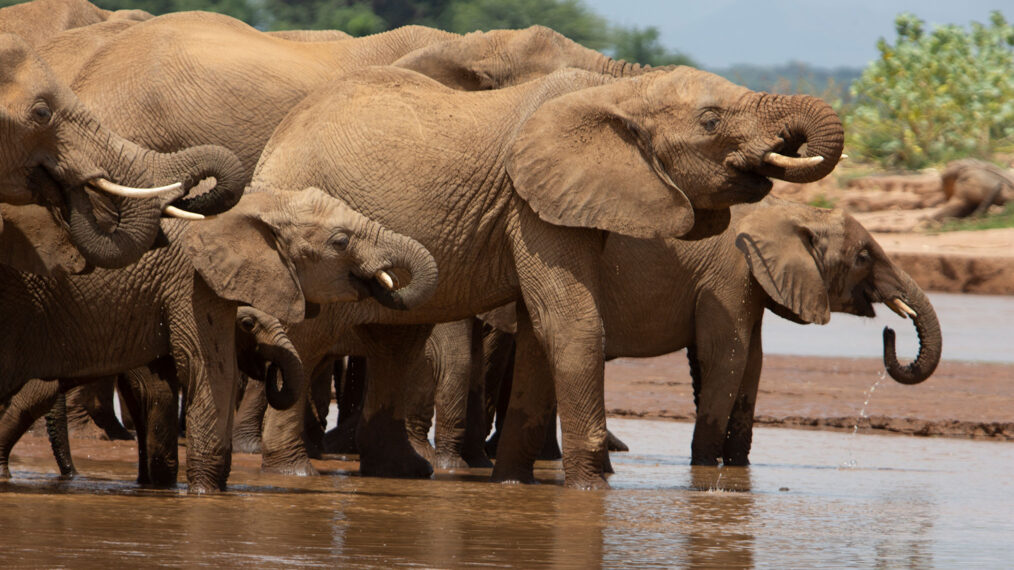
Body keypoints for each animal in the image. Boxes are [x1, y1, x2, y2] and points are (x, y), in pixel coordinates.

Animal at [247, 64, 847, 486]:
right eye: (711, 122)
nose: (788, 148)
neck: (615, 91)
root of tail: (275, 143)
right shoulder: (530, 204)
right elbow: (569, 323)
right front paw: (588, 489)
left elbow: (540, 331)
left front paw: (514, 483)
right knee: (312, 337)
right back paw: (292, 472)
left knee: (398, 343)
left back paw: (400, 474)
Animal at [403, 197, 940, 468]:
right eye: (865, 256)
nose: (890, 331)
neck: (789, 211)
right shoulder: (728, 279)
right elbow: (726, 356)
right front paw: (706, 468)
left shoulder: (746, 285)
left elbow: (751, 363)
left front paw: (736, 467)